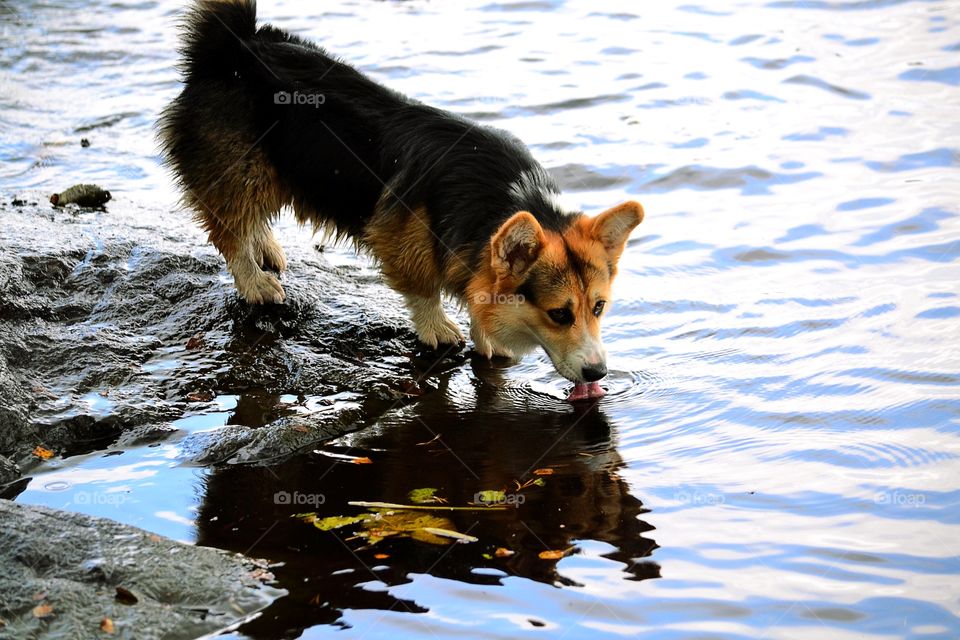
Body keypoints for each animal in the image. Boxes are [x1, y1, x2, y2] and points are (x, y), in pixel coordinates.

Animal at [161, 0, 644, 398]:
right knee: (230, 231)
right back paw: (256, 281)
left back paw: (265, 248)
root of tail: (231, 44)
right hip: (246, 173)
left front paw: (487, 336)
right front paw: (441, 329)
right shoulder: (401, 237)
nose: (599, 374)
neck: (498, 201)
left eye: (599, 307)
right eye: (559, 314)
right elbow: (424, 288)